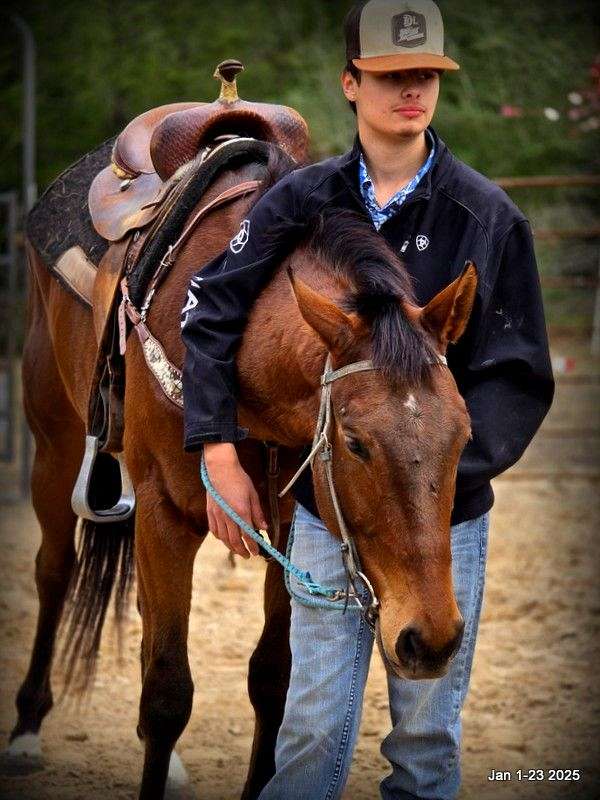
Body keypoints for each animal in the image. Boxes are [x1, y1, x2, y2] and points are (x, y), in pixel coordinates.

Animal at [8, 141, 478, 796]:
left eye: (463, 435)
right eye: (355, 442)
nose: (431, 639)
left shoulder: (294, 526)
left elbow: (273, 682)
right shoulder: (165, 517)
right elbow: (167, 693)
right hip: (54, 447)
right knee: (55, 571)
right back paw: (26, 730)